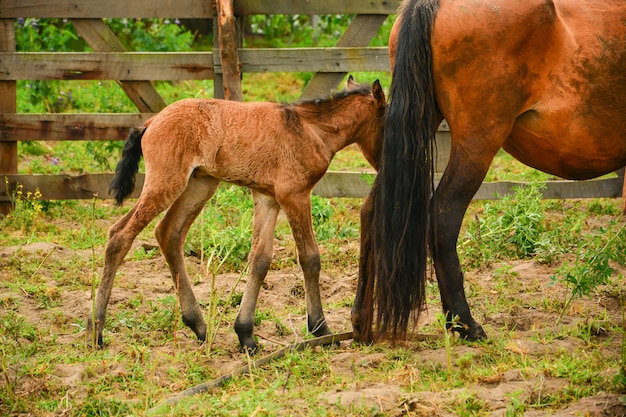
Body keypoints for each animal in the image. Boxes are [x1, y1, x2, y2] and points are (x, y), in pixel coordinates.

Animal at [89, 77, 386, 352]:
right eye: (387, 123)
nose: (382, 164)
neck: (309, 129)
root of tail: (150, 122)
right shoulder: (294, 194)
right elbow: (310, 258)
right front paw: (321, 329)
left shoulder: (268, 197)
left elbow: (260, 259)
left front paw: (246, 335)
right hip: (166, 182)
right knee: (120, 235)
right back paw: (96, 330)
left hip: (199, 185)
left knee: (168, 233)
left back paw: (198, 325)